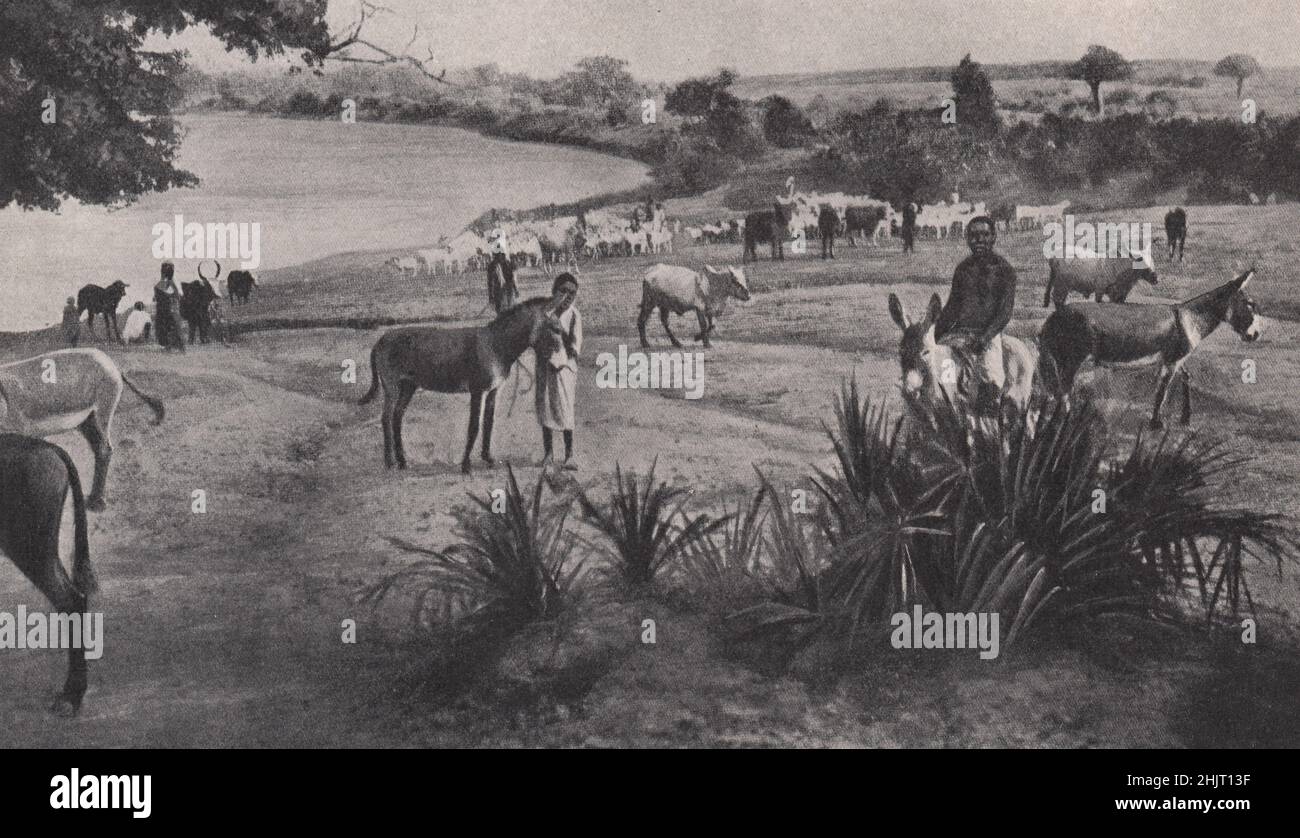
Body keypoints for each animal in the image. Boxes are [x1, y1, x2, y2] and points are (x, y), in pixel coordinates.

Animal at [0, 348, 165, 506]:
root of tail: (110, 362)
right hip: (87, 423)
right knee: (98, 449)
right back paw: (94, 498)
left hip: (102, 415)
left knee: (105, 450)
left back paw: (96, 502)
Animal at [358, 297, 566, 472]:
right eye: (555, 328)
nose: (561, 361)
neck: (495, 345)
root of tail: (381, 340)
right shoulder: (478, 390)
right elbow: (474, 426)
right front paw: (466, 464)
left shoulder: (493, 391)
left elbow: (489, 423)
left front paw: (488, 458)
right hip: (392, 386)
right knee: (386, 418)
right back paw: (390, 462)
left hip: (409, 386)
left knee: (397, 417)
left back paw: (402, 461)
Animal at [1034, 267, 1258, 428]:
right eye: (1249, 304)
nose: (1255, 335)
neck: (1191, 318)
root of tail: (1052, 318)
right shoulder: (1171, 362)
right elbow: (1161, 392)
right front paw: (1156, 423)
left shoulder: (1174, 359)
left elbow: (1185, 378)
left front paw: (1185, 418)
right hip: (1070, 362)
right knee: (1064, 392)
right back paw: (1067, 422)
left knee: (1058, 391)